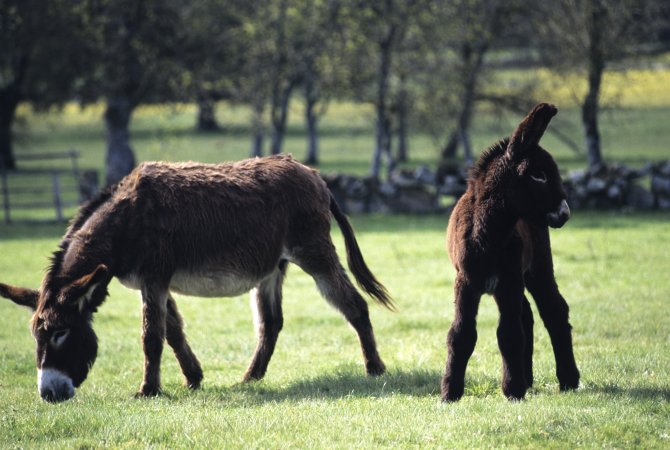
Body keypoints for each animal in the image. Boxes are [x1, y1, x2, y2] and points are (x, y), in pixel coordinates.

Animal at [0, 154, 394, 400]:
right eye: (37, 336)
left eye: (61, 333)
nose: (49, 395)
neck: (125, 222)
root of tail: (315, 175)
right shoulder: (153, 282)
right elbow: (172, 331)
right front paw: (193, 378)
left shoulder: (154, 278)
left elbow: (151, 337)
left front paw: (148, 390)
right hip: (272, 268)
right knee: (271, 324)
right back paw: (250, 378)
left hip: (313, 252)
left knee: (354, 305)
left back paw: (375, 369)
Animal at [444, 104, 580, 400]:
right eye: (538, 175)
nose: (565, 213)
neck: (488, 235)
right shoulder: (466, 282)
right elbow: (461, 334)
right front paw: (450, 393)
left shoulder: (509, 280)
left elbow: (508, 334)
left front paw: (513, 391)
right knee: (527, 315)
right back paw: (528, 378)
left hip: (538, 267)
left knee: (553, 310)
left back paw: (568, 379)